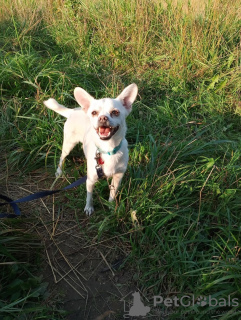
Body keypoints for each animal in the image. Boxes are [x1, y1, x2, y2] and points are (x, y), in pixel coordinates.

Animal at [43, 84, 137, 215]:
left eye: (115, 112)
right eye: (94, 113)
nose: (102, 118)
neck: (107, 149)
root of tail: (74, 111)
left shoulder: (118, 177)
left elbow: (112, 194)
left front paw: (111, 206)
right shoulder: (90, 180)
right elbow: (89, 196)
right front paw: (89, 208)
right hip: (68, 144)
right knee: (62, 156)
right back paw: (59, 171)